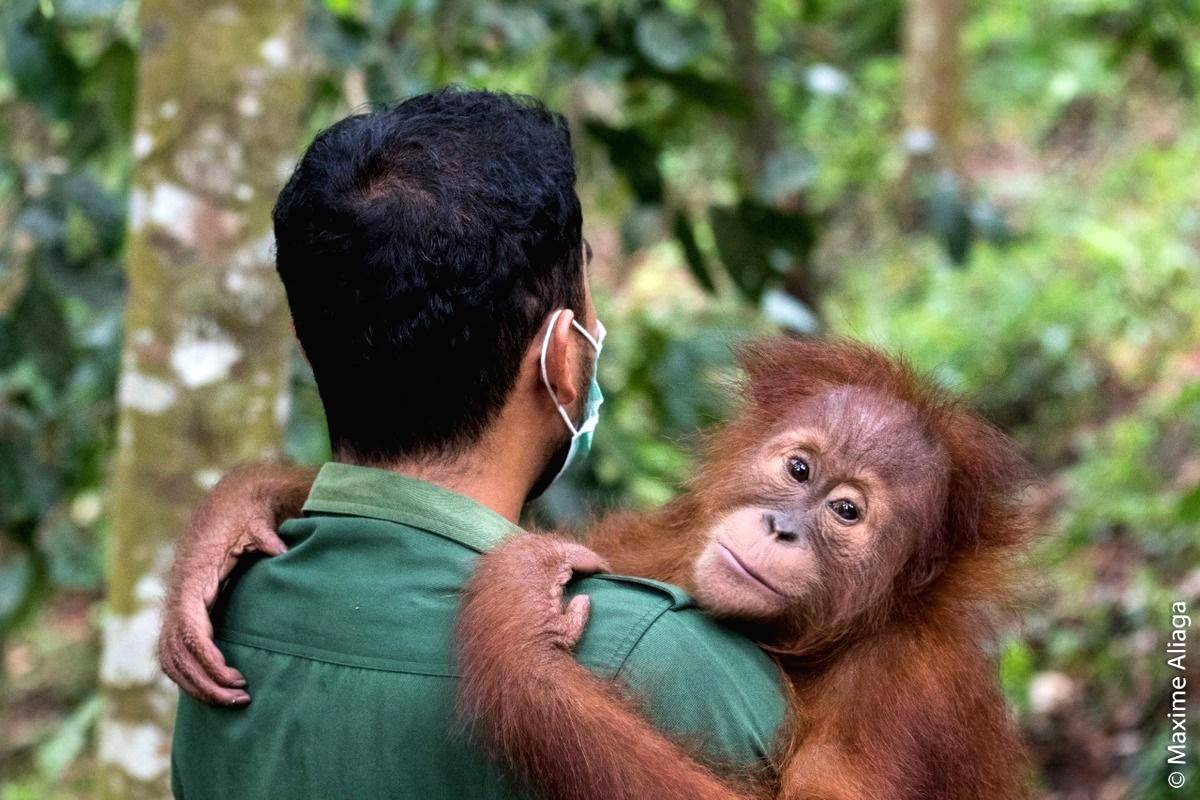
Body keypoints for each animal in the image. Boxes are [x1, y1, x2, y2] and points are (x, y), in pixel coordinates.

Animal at [454, 337, 1036, 800]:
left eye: (847, 511)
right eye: (799, 469)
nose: (782, 528)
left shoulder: (903, 688)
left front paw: (521, 627)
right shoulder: (661, 537)